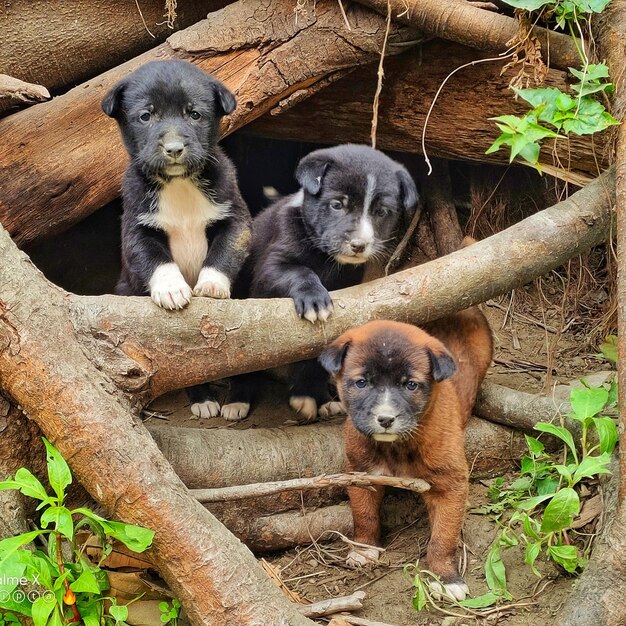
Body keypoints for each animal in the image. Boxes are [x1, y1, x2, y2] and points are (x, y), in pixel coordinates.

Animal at [101, 59, 250, 420]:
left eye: (194, 114)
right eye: (146, 116)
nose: (173, 150)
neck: (179, 183)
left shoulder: (235, 216)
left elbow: (225, 251)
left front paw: (211, 285)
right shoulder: (136, 227)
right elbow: (155, 259)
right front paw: (171, 289)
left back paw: (236, 400)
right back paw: (203, 400)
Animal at [221, 144, 420, 422]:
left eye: (381, 212)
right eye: (337, 205)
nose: (359, 245)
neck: (326, 258)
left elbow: (313, 358)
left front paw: (308, 395)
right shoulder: (271, 268)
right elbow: (301, 271)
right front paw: (315, 300)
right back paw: (237, 400)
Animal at [320, 310, 490, 596]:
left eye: (411, 385)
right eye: (362, 383)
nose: (385, 419)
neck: (396, 447)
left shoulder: (451, 485)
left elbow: (443, 537)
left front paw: (446, 577)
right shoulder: (360, 473)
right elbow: (364, 515)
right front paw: (364, 549)